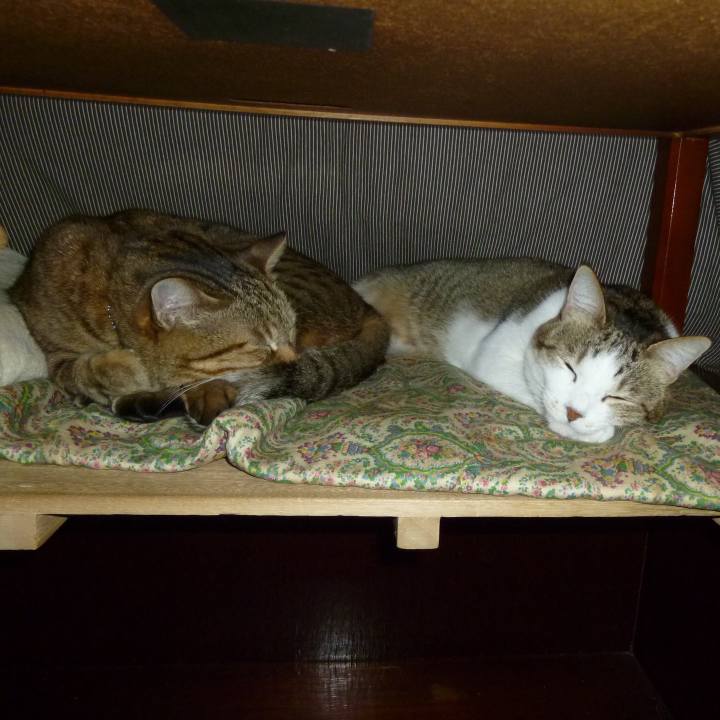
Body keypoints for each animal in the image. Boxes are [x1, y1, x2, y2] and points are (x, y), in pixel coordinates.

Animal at [11, 209, 389, 425]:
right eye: (260, 347)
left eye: (290, 335)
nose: (293, 359)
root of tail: (367, 307)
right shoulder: (57, 356)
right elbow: (87, 369)